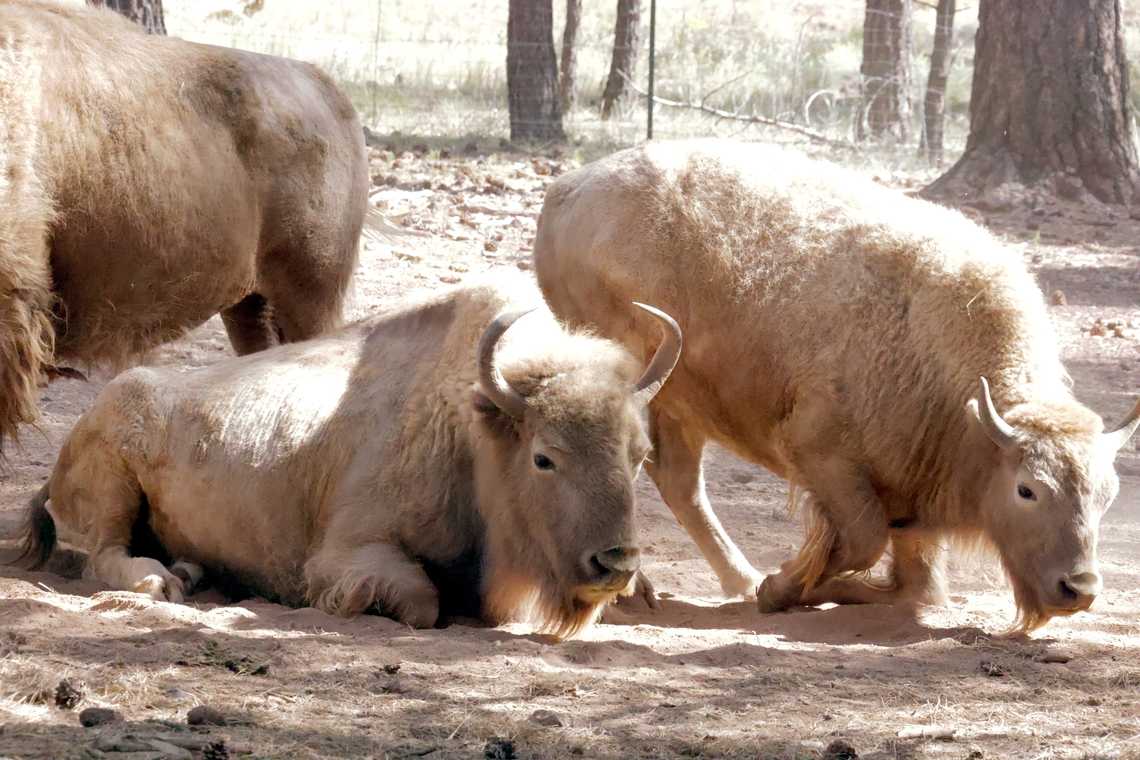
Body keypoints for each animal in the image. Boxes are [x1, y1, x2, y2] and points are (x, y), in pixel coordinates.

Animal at [13, 275, 682, 639]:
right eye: (545, 458)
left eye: (639, 456)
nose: (615, 562)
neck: (471, 429)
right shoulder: (350, 550)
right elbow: (420, 601)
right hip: (113, 489)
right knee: (104, 557)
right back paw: (164, 580)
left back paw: (193, 570)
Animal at [533, 139, 1140, 631]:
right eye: (1028, 489)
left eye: (1107, 495)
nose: (1078, 589)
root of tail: (565, 191)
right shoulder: (821, 454)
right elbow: (863, 540)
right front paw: (782, 586)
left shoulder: (913, 500)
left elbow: (919, 590)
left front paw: (790, 586)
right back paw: (642, 590)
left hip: (681, 402)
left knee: (680, 482)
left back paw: (734, 580)